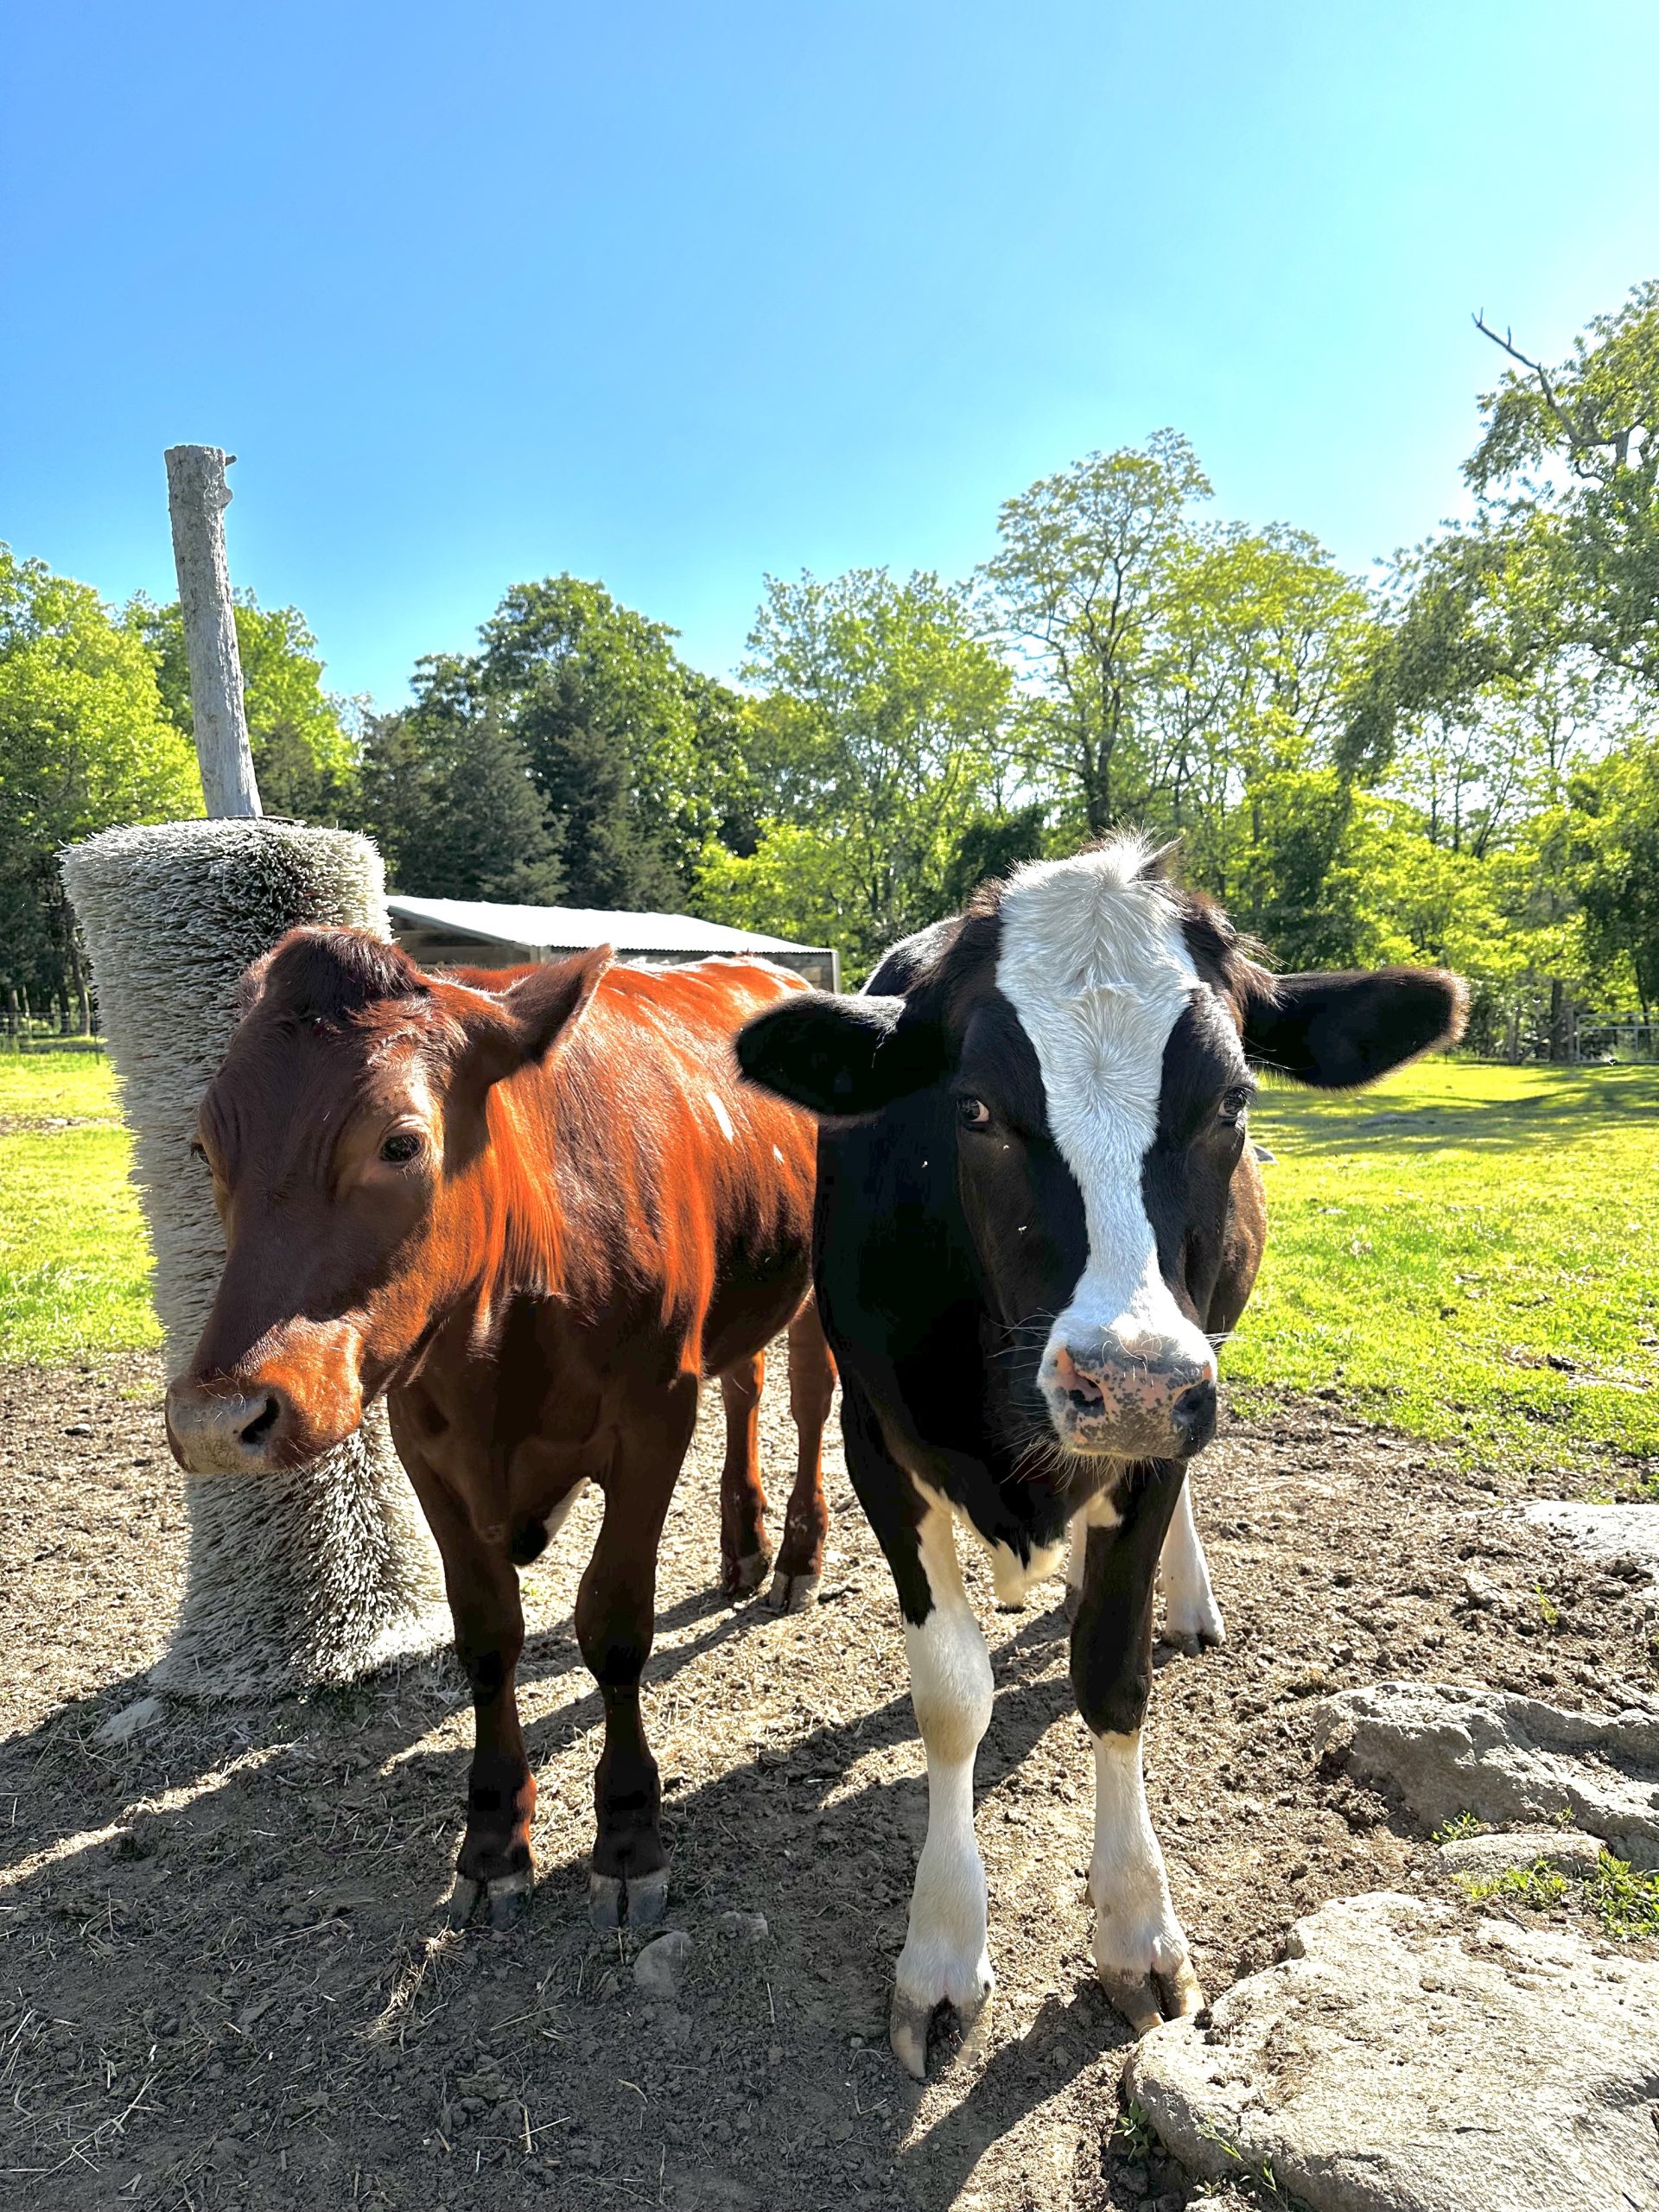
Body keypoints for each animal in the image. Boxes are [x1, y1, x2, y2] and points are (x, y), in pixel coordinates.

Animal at [164, 930, 836, 1930]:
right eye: (206, 1146)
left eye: (401, 1142)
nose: (215, 1419)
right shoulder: (422, 1443)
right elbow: (485, 1637)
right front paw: (491, 1839)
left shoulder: (653, 1417)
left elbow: (614, 1626)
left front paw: (628, 1834)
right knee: (745, 1386)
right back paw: (742, 1544)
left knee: (809, 1397)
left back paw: (794, 1555)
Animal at [736, 836, 1465, 2075]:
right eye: (975, 1107)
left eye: (1233, 1099)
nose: (1125, 1380)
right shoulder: (877, 1441)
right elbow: (952, 1698)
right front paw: (942, 1951)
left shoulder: (1168, 1431)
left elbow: (1112, 1677)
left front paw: (1136, 1930)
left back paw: (1183, 1596)